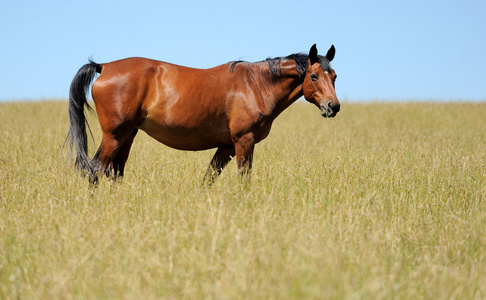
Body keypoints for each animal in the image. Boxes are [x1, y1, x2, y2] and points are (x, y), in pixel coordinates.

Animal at [66, 43, 340, 184]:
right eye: (313, 76)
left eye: (334, 76)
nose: (333, 106)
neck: (255, 85)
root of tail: (104, 67)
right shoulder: (244, 141)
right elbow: (244, 179)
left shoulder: (226, 146)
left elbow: (208, 179)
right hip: (114, 135)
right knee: (95, 170)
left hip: (127, 135)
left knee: (115, 172)